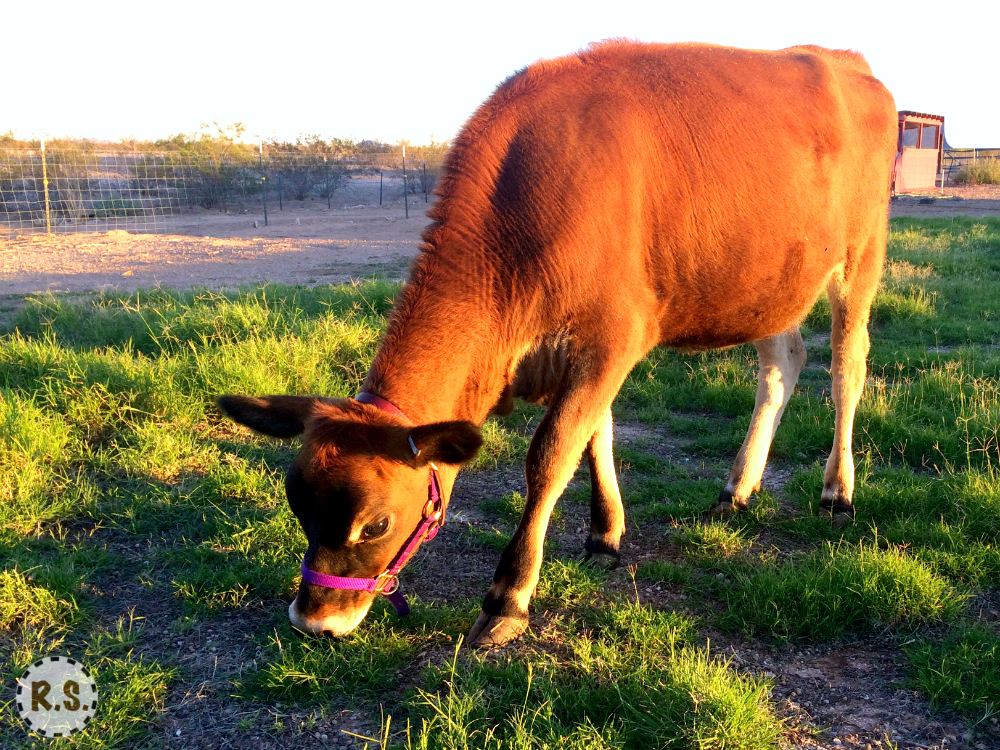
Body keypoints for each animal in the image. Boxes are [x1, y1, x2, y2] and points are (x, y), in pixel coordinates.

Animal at [219, 41, 900, 648]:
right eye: (297, 506)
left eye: (377, 523)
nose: (313, 621)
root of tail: (849, 61)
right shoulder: (582, 352)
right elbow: (594, 436)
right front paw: (605, 532)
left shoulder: (613, 337)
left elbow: (551, 454)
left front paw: (508, 598)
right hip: (771, 280)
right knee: (783, 364)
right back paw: (738, 486)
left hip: (861, 254)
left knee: (847, 368)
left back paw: (838, 491)